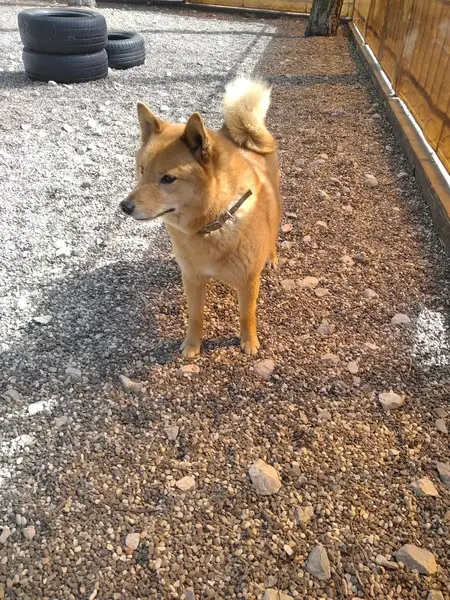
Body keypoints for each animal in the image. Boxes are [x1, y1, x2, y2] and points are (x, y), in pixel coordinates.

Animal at [120, 78, 281, 357]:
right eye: (141, 170)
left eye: (168, 179)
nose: (125, 206)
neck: (212, 225)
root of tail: (244, 135)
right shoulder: (193, 279)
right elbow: (195, 317)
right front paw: (192, 345)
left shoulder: (248, 281)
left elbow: (246, 315)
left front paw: (249, 341)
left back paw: (270, 257)